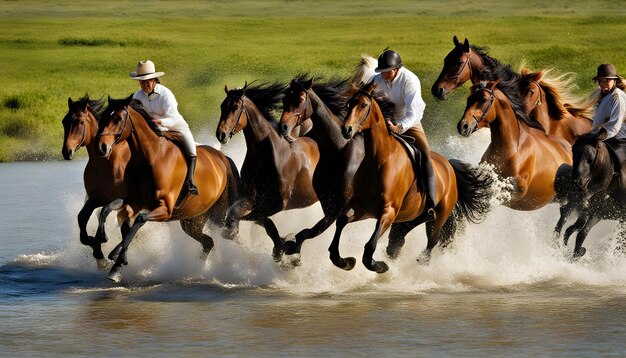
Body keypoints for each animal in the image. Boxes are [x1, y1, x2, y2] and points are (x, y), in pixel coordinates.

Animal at [61, 95, 129, 268]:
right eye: (64, 121)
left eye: (80, 122)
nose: (66, 152)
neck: (105, 162)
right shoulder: (95, 198)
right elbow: (82, 218)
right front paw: (96, 248)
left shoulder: (120, 199)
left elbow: (104, 213)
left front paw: (101, 240)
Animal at [96, 95, 240, 282]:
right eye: (104, 117)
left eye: (118, 118)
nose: (102, 148)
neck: (150, 158)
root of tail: (224, 158)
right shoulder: (134, 201)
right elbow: (107, 210)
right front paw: (107, 250)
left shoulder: (164, 209)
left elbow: (139, 220)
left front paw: (116, 258)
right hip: (191, 220)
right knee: (208, 242)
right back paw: (196, 269)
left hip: (218, 216)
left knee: (221, 237)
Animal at [216, 82, 322, 262]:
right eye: (223, 106)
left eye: (236, 107)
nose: (221, 134)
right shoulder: (251, 198)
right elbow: (262, 221)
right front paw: (281, 248)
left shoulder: (277, 204)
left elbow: (255, 218)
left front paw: (286, 248)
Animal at [332, 80, 492, 272]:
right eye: (349, 104)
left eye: (363, 105)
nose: (346, 129)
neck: (380, 159)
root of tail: (449, 167)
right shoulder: (363, 207)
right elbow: (341, 221)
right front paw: (344, 261)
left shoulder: (388, 212)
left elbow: (369, 249)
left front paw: (380, 266)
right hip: (412, 218)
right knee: (397, 243)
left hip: (440, 214)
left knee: (432, 241)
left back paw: (421, 265)